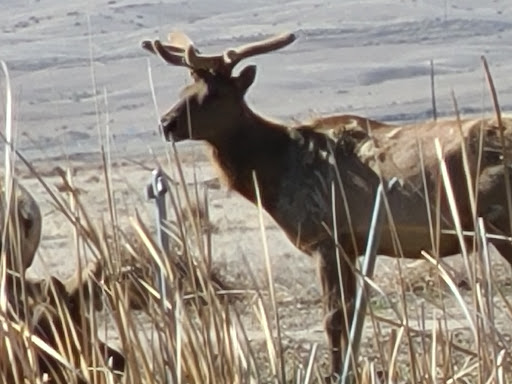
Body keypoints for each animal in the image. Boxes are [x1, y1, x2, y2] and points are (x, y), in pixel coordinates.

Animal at [142, 31, 512, 380]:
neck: (274, 172)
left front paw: (337, 372)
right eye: (185, 88)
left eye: (215, 94)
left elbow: (333, 317)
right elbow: (351, 313)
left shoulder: (327, 234)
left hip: (500, 220)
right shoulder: (351, 244)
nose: (166, 123)